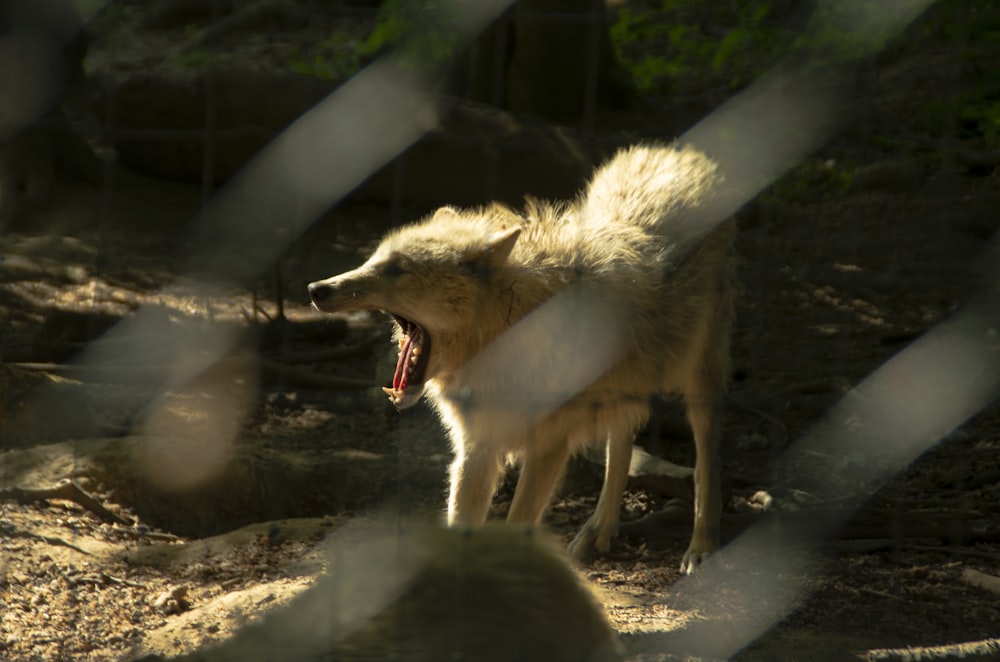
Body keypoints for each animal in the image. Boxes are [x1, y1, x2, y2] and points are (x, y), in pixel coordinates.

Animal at [308, 145, 740, 576]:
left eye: (398, 270)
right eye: (373, 260)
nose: (316, 288)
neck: (509, 335)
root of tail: (676, 151)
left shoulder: (549, 446)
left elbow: (516, 524)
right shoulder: (477, 446)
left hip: (700, 380)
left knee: (707, 461)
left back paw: (701, 545)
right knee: (621, 442)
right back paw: (598, 530)